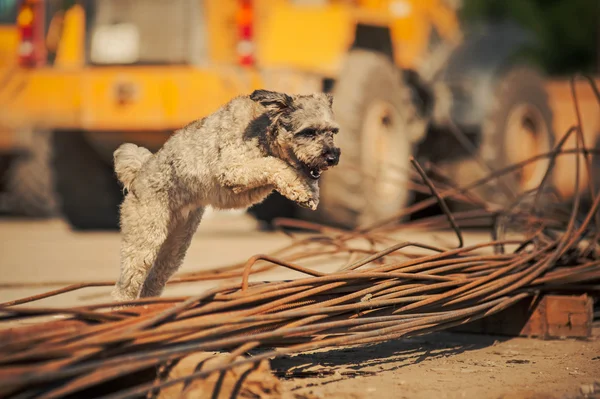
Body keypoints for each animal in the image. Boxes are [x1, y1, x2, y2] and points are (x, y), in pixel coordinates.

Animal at [110, 90, 340, 302]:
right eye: (309, 132)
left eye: (333, 132)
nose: (332, 157)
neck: (263, 131)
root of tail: (138, 174)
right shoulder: (232, 169)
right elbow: (274, 164)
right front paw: (301, 189)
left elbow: (288, 170)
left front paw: (308, 191)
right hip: (145, 239)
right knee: (125, 287)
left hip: (175, 246)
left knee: (154, 280)